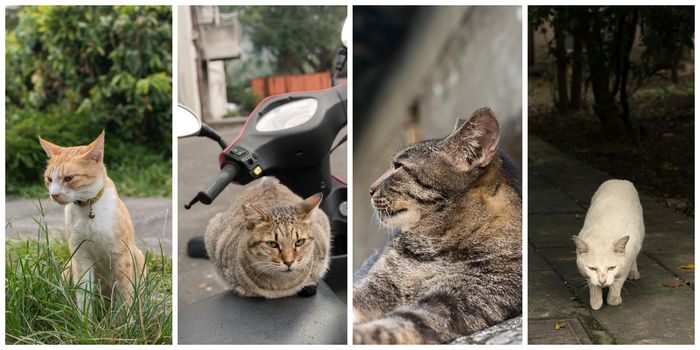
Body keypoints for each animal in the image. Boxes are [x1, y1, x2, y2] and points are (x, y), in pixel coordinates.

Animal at [39, 130, 146, 310]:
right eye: (49, 179)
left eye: (68, 178)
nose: (54, 194)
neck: (88, 206)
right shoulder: (81, 256)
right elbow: (83, 295)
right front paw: (84, 318)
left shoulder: (121, 256)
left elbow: (125, 296)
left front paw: (126, 318)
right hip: (68, 267)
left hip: (137, 257)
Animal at [352, 108, 524, 344]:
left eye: (398, 166)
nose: (370, 188)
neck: (433, 247)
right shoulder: (375, 287)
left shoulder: (455, 302)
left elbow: (396, 325)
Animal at [572, 179, 644, 310]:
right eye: (592, 268)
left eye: (611, 268)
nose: (602, 281)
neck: (603, 232)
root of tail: (619, 180)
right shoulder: (588, 274)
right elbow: (593, 285)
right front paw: (596, 302)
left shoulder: (625, 263)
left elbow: (618, 281)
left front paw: (613, 298)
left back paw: (633, 272)